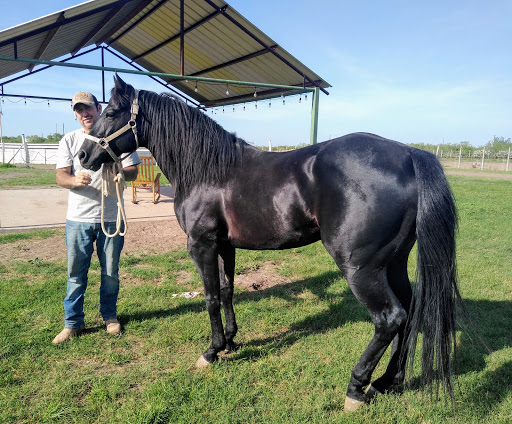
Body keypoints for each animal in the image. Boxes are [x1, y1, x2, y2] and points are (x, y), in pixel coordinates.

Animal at [79, 77, 464, 410]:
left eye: (111, 112)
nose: (82, 156)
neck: (208, 170)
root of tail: (410, 155)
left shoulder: (201, 245)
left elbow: (210, 298)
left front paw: (211, 352)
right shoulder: (226, 246)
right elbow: (227, 291)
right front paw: (231, 342)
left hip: (360, 267)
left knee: (390, 318)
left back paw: (356, 387)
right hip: (394, 263)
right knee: (411, 311)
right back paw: (387, 381)